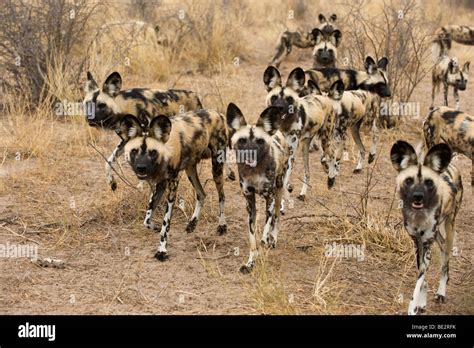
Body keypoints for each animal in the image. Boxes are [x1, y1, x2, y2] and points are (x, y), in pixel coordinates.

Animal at [119, 110, 229, 260]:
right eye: (134, 151)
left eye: (153, 152)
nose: (141, 168)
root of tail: (217, 113)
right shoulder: (160, 184)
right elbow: (147, 219)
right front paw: (155, 227)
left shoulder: (172, 187)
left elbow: (166, 223)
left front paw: (162, 250)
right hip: (190, 170)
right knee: (201, 194)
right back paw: (192, 223)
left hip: (216, 168)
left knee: (222, 196)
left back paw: (222, 225)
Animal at [226, 102, 288, 272]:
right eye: (242, 140)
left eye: (259, 141)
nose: (250, 153)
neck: (255, 172)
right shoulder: (249, 202)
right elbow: (252, 237)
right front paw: (251, 262)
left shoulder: (270, 197)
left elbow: (267, 223)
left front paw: (266, 239)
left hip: (279, 190)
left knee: (276, 217)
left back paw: (273, 239)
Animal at [262, 65, 344, 203]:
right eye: (274, 97)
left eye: (289, 99)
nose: (279, 108)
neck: (284, 125)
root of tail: (324, 97)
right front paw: (289, 188)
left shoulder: (290, 153)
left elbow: (284, 179)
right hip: (306, 147)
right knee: (308, 171)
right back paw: (303, 193)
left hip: (325, 140)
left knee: (332, 156)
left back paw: (331, 178)